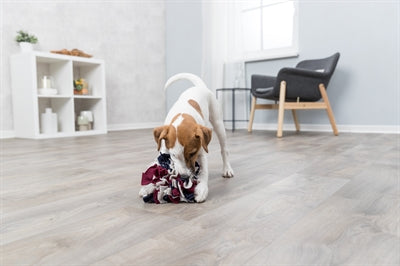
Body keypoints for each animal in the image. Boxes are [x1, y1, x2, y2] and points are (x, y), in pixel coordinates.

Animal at [139, 72, 233, 202]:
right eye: (173, 155)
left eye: (192, 154)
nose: (184, 177)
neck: (183, 115)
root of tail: (200, 87)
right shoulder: (164, 150)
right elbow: (158, 166)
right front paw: (148, 187)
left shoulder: (201, 152)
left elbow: (204, 171)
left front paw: (202, 189)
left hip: (218, 123)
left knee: (224, 150)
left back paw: (227, 169)